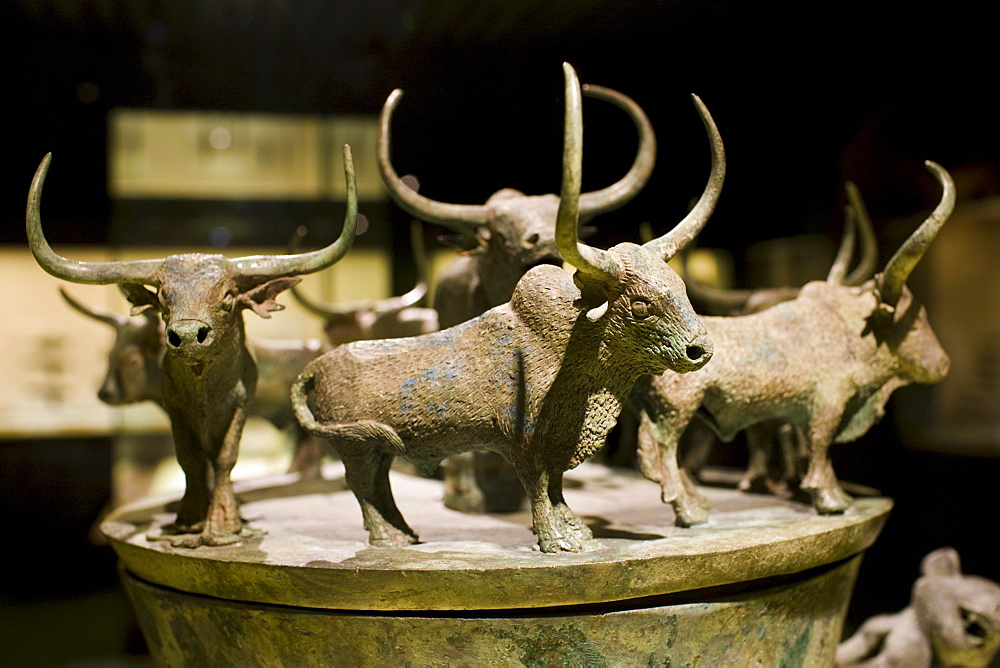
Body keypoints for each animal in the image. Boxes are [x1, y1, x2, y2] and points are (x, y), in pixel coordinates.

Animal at [24, 144, 360, 544]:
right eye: (162, 298)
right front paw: (187, 518)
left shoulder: (241, 404)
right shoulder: (176, 409)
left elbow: (225, 457)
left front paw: (223, 523)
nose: (186, 336)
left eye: (228, 296)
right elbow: (191, 459)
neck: (203, 386)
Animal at [292, 64, 724, 552]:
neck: (574, 349)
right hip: (357, 448)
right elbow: (538, 486)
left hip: (376, 447)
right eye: (640, 304)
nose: (700, 351)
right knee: (363, 488)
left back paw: (405, 532)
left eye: (681, 288)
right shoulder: (524, 440)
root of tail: (317, 366)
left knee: (379, 486)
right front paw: (555, 540)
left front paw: (578, 530)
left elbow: (556, 486)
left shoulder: (559, 442)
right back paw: (389, 538)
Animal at [636, 159, 956, 524]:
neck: (846, 330)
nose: (944, 363)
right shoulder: (826, 407)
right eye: (915, 324)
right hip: (676, 414)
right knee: (661, 453)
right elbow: (820, 452)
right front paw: (832, 501)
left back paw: (700, 502)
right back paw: (689, 511)